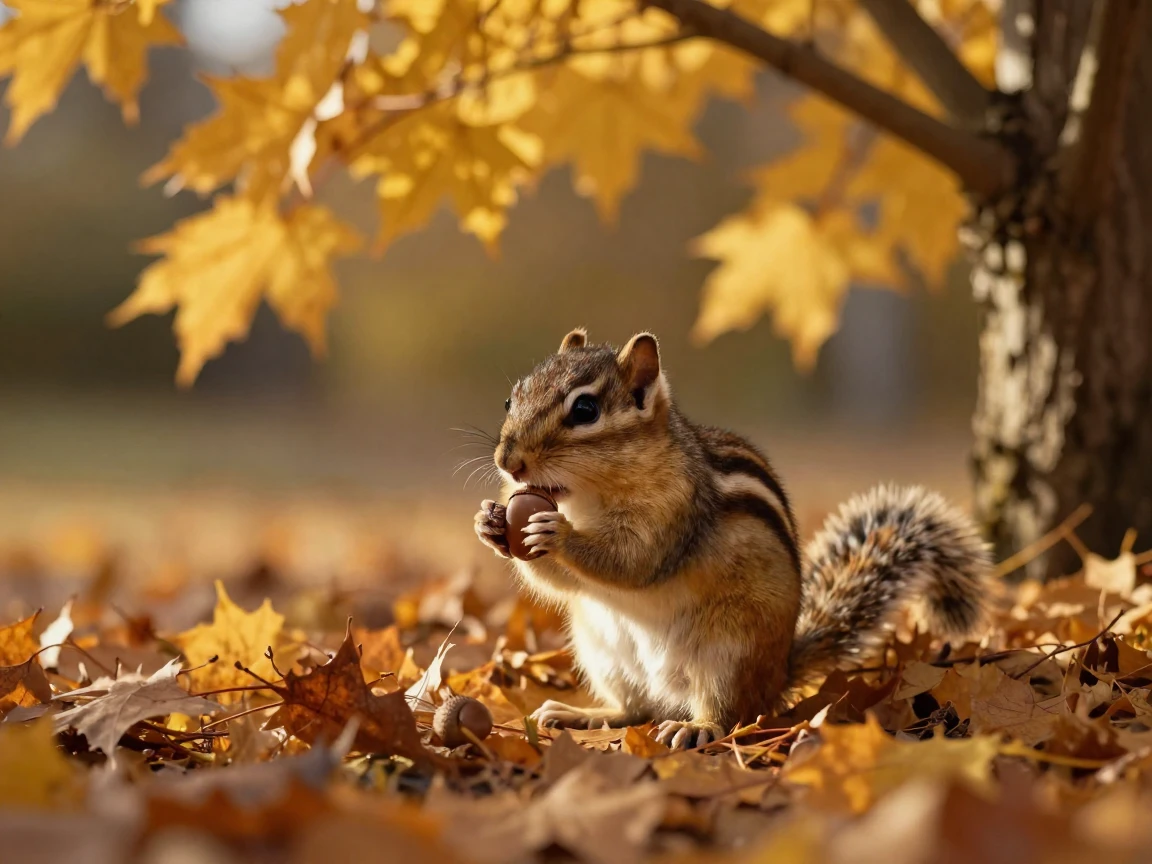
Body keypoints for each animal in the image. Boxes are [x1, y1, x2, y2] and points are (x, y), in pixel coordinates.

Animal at [473, 329, 991, 749]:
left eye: (585, 410)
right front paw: (491, 522)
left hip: (727, 653)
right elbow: (558, 582)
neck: (585, 499)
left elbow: (632, 561)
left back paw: (694, 728)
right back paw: (578, 714)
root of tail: (778, 674)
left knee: (728, 713)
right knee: (635, 710)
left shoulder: (674, 511)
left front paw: (556, 532)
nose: (507, 461)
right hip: (602, 653)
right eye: (510, 400)